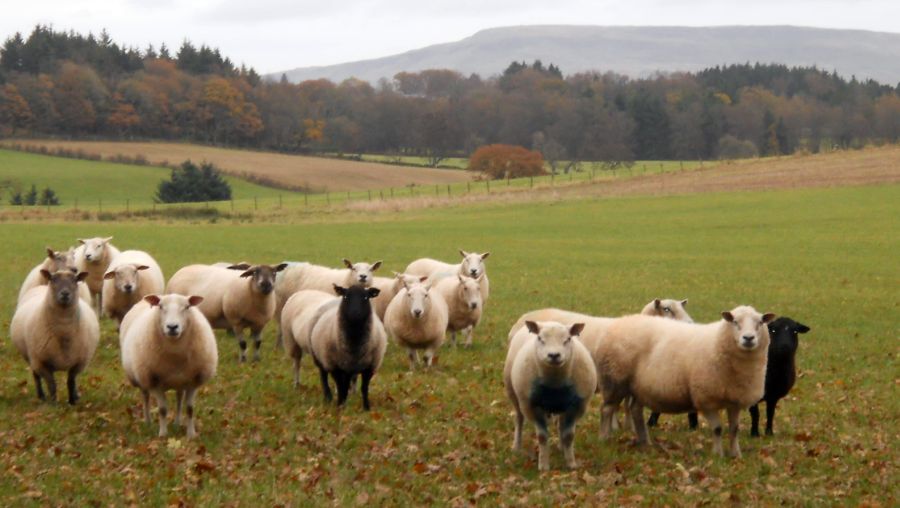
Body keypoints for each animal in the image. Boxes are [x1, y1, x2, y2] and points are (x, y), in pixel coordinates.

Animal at [10, 270, 100, 404]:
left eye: (75, 280)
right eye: (53, 279)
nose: (65, 293)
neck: (64, 331)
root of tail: (42, 287)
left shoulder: (78, 363)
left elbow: (71, 382)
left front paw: (72, 401)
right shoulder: (41, 362)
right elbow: (51, 384)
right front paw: (53, 403)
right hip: (30, 356)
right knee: (36, 376)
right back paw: (41, 396)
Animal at [120, 294, 217, 440]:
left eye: (187, 307)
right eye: (160, 306)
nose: (172, 327)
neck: (175, 354)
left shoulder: (193, 381)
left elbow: (190, 409)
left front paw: (191, 434)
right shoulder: (154, 380)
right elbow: (162, 410)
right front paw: (163, 434)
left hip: (180, 381)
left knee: (179, 399)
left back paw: (177, 422)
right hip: (142, 377)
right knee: (146, 397)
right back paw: (148, 421)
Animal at [502, 322, 596, 472]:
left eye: (568, 339)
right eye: (540, 338)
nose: (554, 355)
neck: (555, 382)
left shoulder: (575, 406)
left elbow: (568, 436)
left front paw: (571, 464)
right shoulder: (532, 406)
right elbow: (542, 436)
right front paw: (544, 466)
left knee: (560, 425)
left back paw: (562, 448)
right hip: (514, 394)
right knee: (519, 419)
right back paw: (516, 446)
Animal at [596, 306, 772, 460]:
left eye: (760, 322)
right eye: (735, 321)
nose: (748, 338)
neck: (718, 342)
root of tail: (620, 322)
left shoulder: (735, 400)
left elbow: (734, 430)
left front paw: (736, 454)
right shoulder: (705, 398)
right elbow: (717, 429)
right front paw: (718, 454)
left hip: (638, 386)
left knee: (635, 410)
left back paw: (645, 441)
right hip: (615, 380)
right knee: (607, 409)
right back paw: (604, 437)